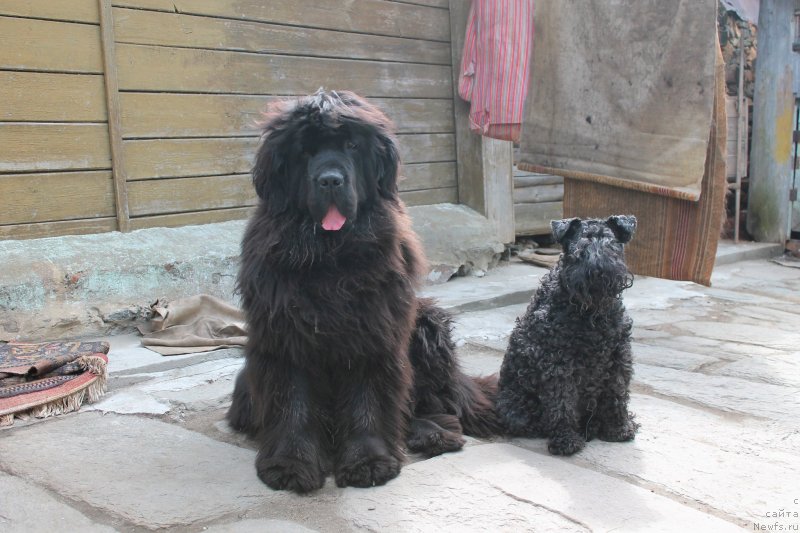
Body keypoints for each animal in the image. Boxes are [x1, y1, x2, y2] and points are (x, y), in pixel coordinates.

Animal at [225, 89, 500, 492]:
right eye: (304, 150)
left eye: (352, 146)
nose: (330, 180)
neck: (330, 257)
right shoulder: (285, 335)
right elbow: (293, 400)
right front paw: (291, 463)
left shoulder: (374, 331)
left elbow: (368, 399)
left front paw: (369, 460)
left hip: (427, 325)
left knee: (437, 406)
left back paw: (433, 434)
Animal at [496, 214, 640, 456]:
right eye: (578, 248)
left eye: (611, 244)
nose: (597, 270)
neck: (591, 314)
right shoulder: (558, 363)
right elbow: (562, 402)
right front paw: (566, 440)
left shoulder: (619, 356)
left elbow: (616, 393)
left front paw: (619, 428)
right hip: (515, 407)